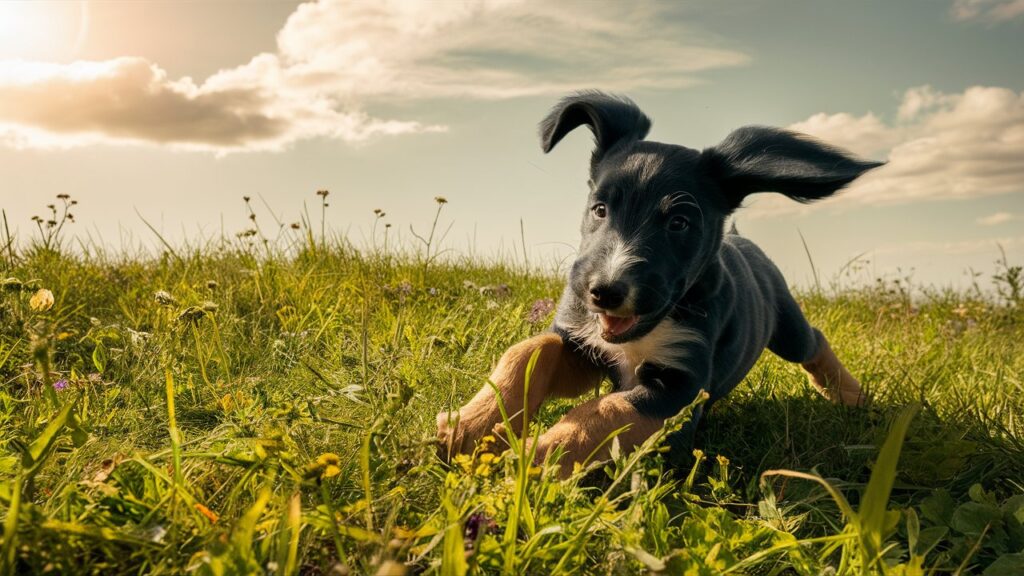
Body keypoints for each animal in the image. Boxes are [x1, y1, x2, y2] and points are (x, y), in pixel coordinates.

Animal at [436, 90, 876, 475]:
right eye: (599, 209)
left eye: (679, 223)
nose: (603, 292)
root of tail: (739, 237)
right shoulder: (582, 343)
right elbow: (531, 350)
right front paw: (471, 427)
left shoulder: (680, 387)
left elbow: (605, 410)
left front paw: (535, 456)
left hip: (785, 324)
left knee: (813, 341)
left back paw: (852, 396)